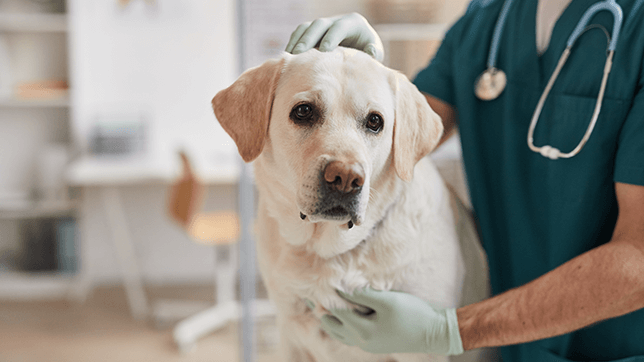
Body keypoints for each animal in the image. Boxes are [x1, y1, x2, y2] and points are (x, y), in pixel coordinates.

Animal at [211, 46, 488, 360]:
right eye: (303, 111)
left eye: (375, 121)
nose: (345, 178)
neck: (332, 253)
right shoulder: (291, 337)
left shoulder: (423, 351)